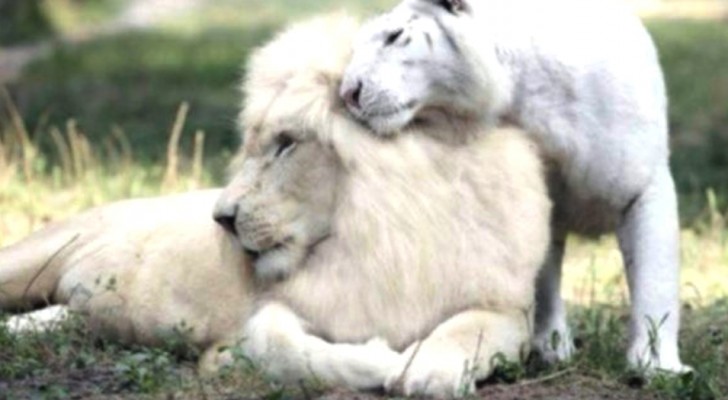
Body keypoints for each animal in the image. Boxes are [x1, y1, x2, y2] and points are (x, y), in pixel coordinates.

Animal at [0, 13, 544, 396]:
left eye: (285, 144)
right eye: (254, 144)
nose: (221, 219)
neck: (377, 235)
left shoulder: (506, 307)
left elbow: (465, 331)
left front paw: (427, 368)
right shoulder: (263, 318)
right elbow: (285, 349)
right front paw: (385, 358)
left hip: (69, 308)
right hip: (30, 258)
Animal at [342, 0, 688, 374]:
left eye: (394, 37)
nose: (347, 93)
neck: (522, 95)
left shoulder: (643, 186)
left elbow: (655, 280)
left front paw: (657, 366)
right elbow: (542, 280)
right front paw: (550, 347)